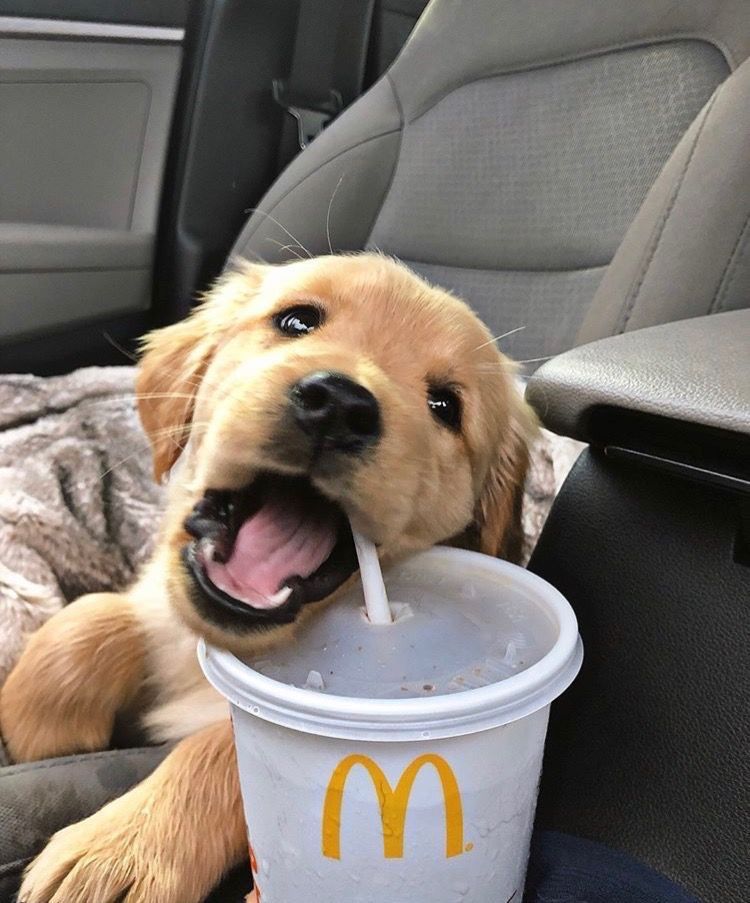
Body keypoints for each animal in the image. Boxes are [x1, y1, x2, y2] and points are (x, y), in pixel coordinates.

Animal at [2, 254, 536, 903]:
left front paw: (122, 850)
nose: (338, 404)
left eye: (445, 407)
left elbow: (219, 743)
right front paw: (39, 726)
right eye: (296, 321)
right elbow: (95, 615)